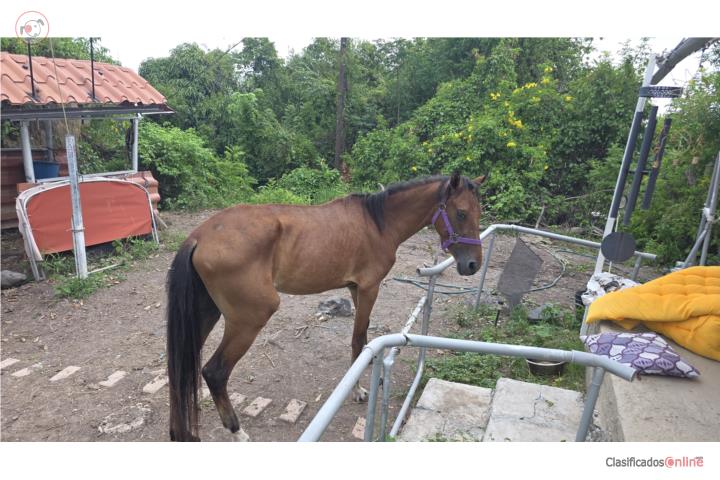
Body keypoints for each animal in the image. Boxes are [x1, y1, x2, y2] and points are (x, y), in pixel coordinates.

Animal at [166, 171, 486, 441]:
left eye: (478, 212)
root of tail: (199, 236)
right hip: (249, 319)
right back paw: (237, 432)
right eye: (460, 213)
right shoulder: (368, 288)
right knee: (214, 372)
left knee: (181, 368)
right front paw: (358, 390)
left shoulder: (355, 289)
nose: (473, 265)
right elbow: (358, 340)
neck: (377, 224)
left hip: (206, 313)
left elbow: (363, 336)